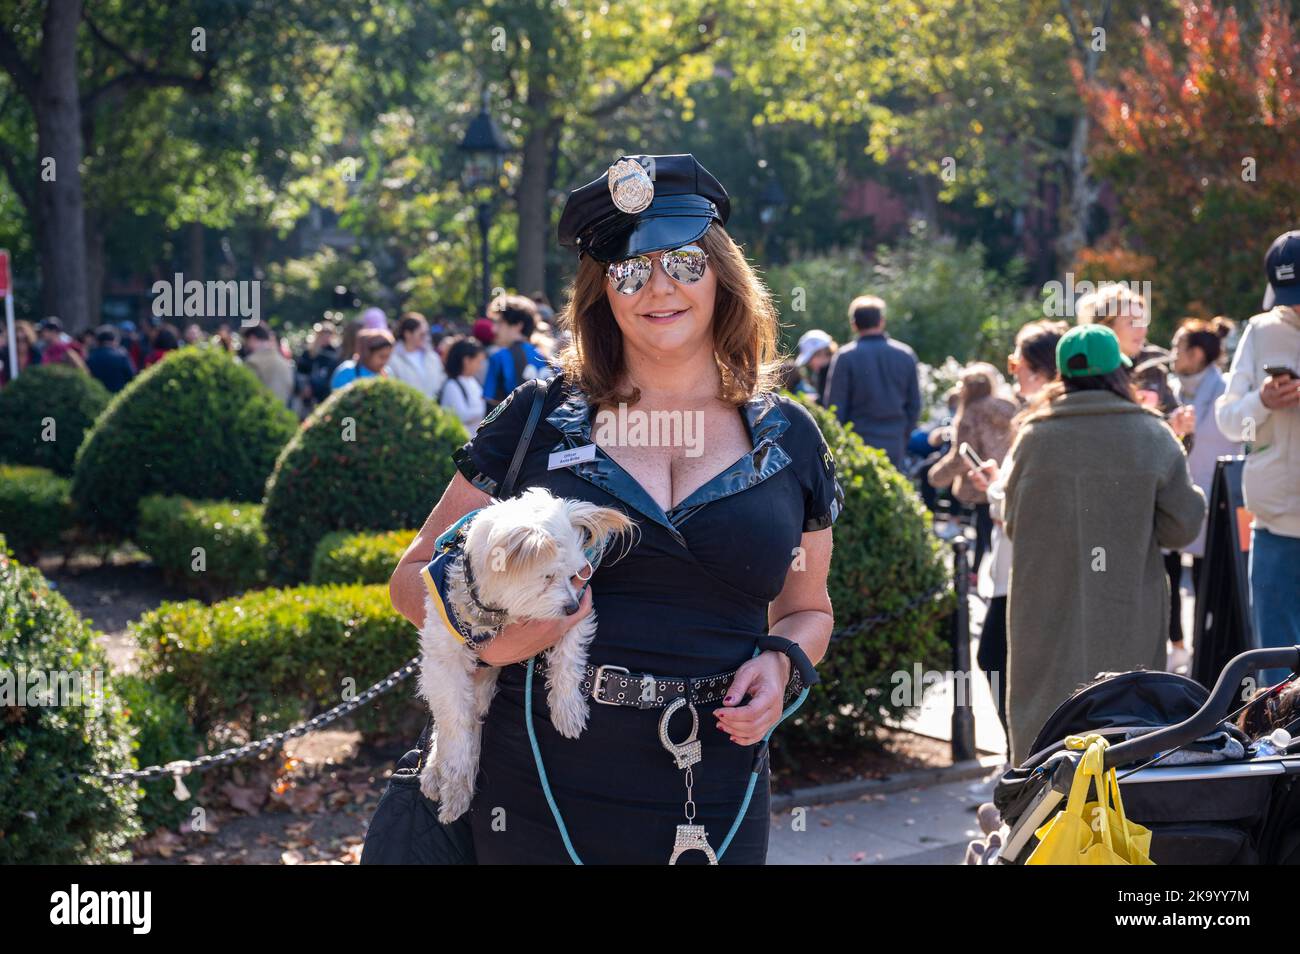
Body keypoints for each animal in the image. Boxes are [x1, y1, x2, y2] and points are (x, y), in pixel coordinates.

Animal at [416, 488, 634, 826]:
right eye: (547, 577)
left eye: (574, 575)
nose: (570, 606)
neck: (496, 612)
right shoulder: (443, 661)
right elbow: (455, 725)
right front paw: (455, 780)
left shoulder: (579, 615)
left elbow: (568, 661)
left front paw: (567, 710)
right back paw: (436, 773)